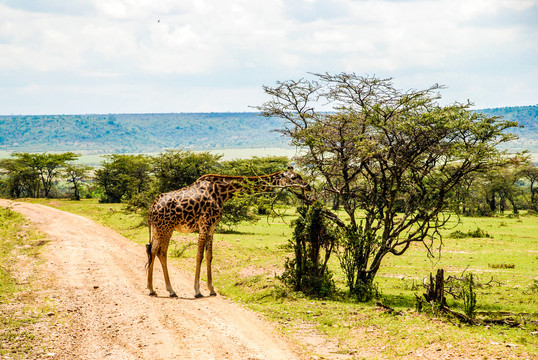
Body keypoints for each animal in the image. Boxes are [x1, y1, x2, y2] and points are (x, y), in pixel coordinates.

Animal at [146, 166, 310, 298]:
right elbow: (199, 255)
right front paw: (197, 291)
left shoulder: (212, 226)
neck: (222, 193)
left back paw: (153, 289)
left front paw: (212, 289)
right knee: (161, 252)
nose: (307, 186)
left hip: (158, 228)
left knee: (152, 250)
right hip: (166, 228)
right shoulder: (204, 223)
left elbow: (209, 256)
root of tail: (152, 208)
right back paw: (169, 290)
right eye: (294, 177)